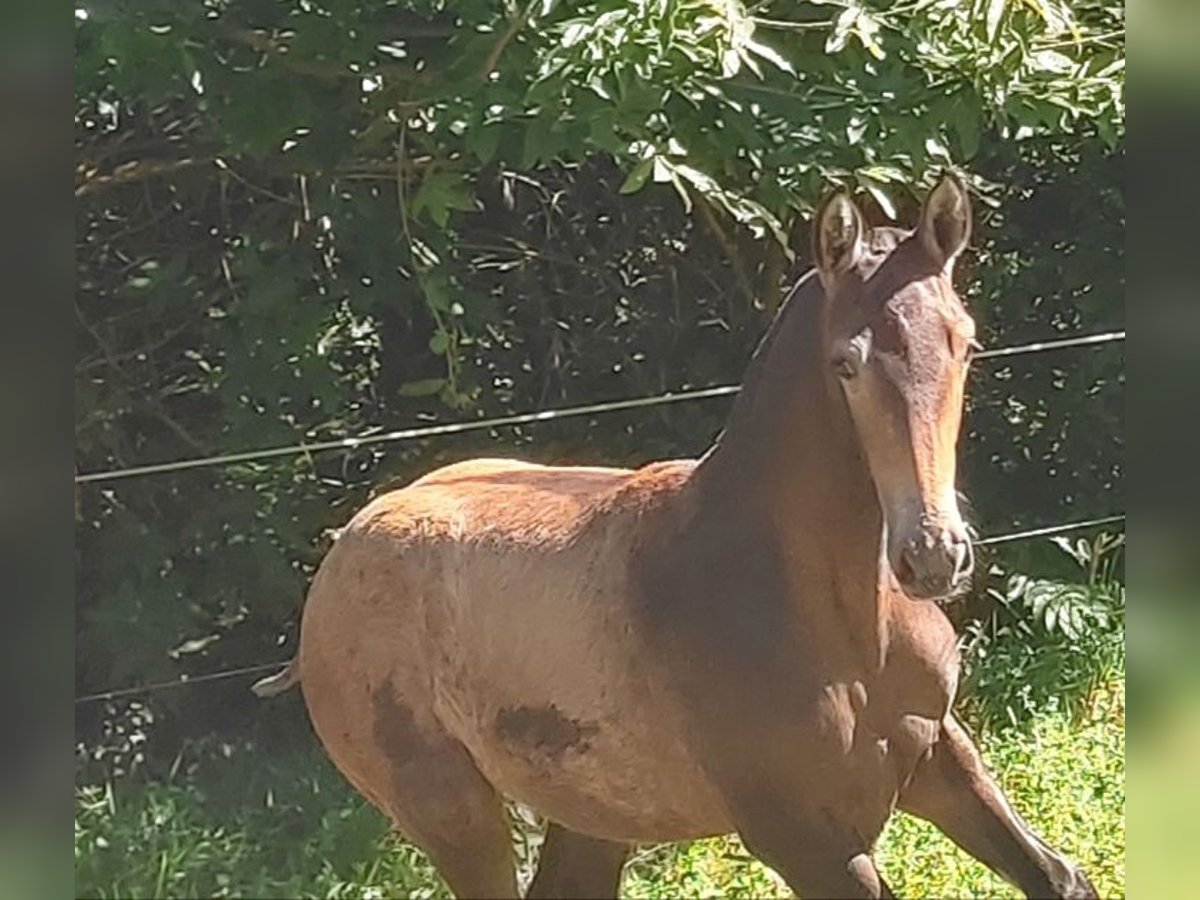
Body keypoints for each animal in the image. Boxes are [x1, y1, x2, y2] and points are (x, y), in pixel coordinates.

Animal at [253, 174, 1099, 897]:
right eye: (846, 364)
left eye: (965, 342)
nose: (932, 556)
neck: (843, 625)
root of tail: (344, 550)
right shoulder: (801, 836)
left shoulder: (938, 758)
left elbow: (1059, 877)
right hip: (454, 814)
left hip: (594, 812)